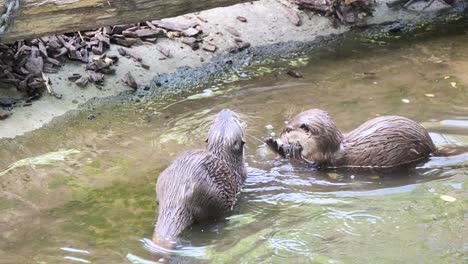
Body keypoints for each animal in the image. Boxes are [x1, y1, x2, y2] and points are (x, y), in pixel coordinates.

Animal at [154, 108, 249, 246]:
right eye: (235, 120)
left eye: (215, 120)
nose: (226, 110)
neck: (225, 158)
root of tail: (178, 197)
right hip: (212, 198)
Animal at [266, 109, 462, 169]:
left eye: (288, 129)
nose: (280, 133)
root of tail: (432, 147)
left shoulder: (318, 159)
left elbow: (299, 161)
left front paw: (274, 145)